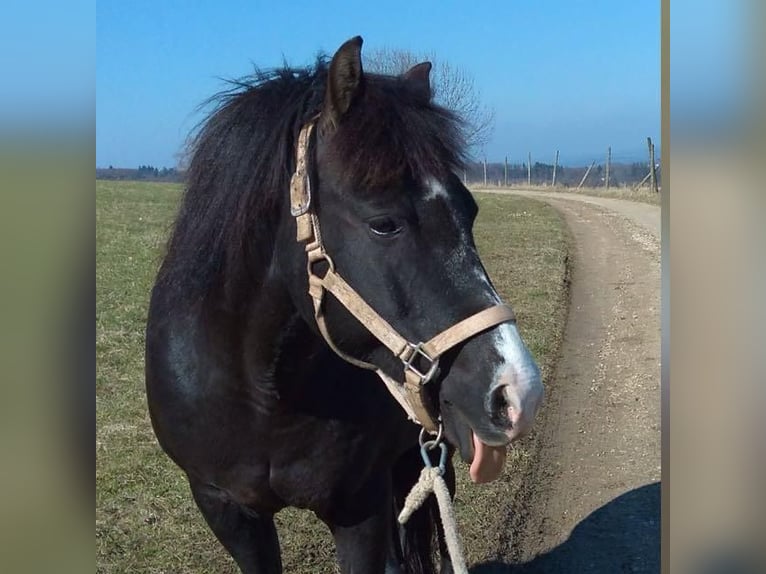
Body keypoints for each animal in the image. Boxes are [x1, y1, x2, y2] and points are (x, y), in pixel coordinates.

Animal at [145, 36, 543, 574]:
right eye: (384, 224)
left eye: (470, 210)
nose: (515, 393)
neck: (261, 393)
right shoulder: (226, 509)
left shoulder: (360, 509)